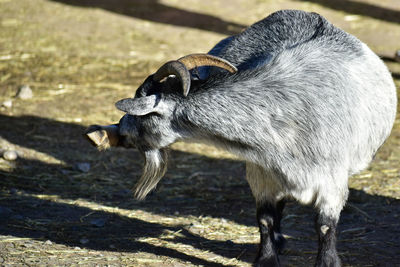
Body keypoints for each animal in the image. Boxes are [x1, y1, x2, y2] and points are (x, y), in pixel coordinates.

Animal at [85, 9, 396, 267]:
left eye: (139, 115)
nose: (110, 133)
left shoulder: (332, 180)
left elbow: (324, 225)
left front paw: (327, 262)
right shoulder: (260, 170)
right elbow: (265, 218)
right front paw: (266, 259)